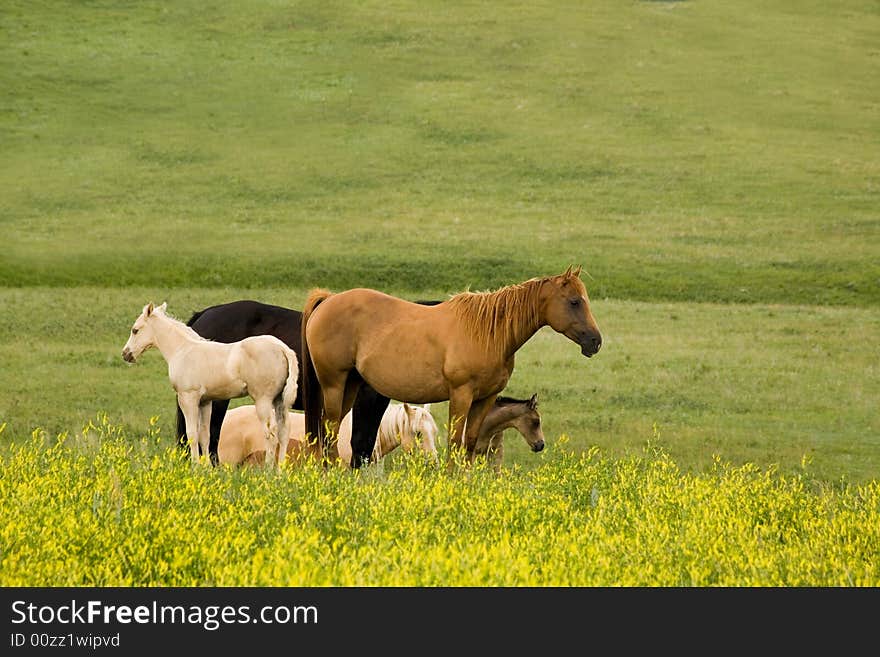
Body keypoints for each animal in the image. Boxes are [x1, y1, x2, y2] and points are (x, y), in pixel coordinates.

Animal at [300, 266, 600, 462]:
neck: (489, 333)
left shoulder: (485, 399)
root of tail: (328, 299)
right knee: (329, 431)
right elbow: (455, 442)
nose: (595, 341)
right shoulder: (461, 395)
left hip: (350, 385)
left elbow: (469, 443)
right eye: (575, 301)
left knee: (331, 431)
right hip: (334, 384)